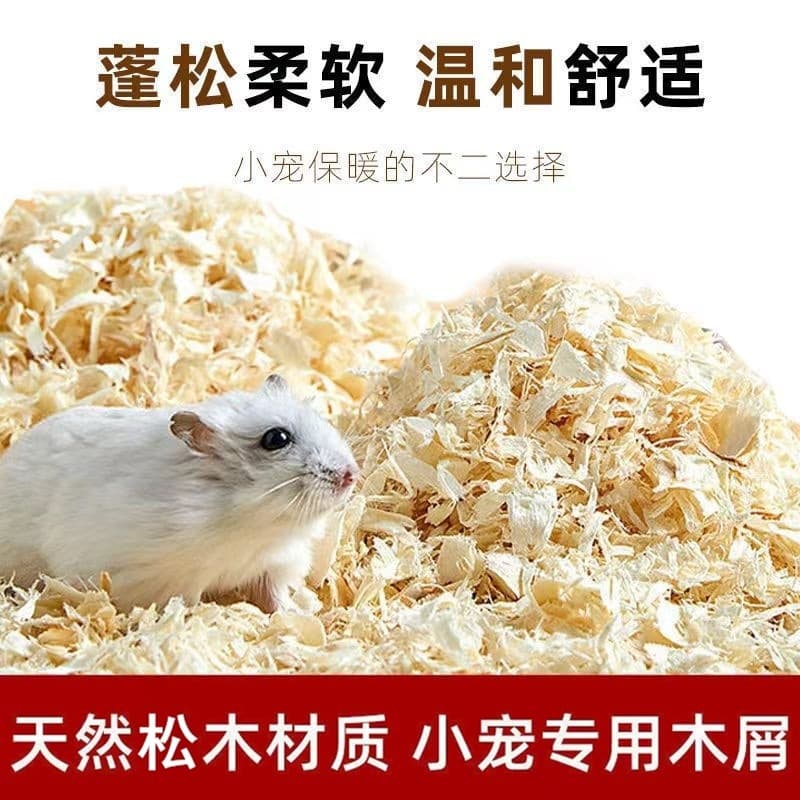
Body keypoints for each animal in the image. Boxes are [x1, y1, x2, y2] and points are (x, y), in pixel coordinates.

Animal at [0, 374, 358, 613]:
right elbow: (184, 606)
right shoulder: (164, 580)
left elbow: (275, 596)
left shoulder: (276, 563)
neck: (252, 523)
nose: (351, 475)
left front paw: (299, 615)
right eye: (276, 438)